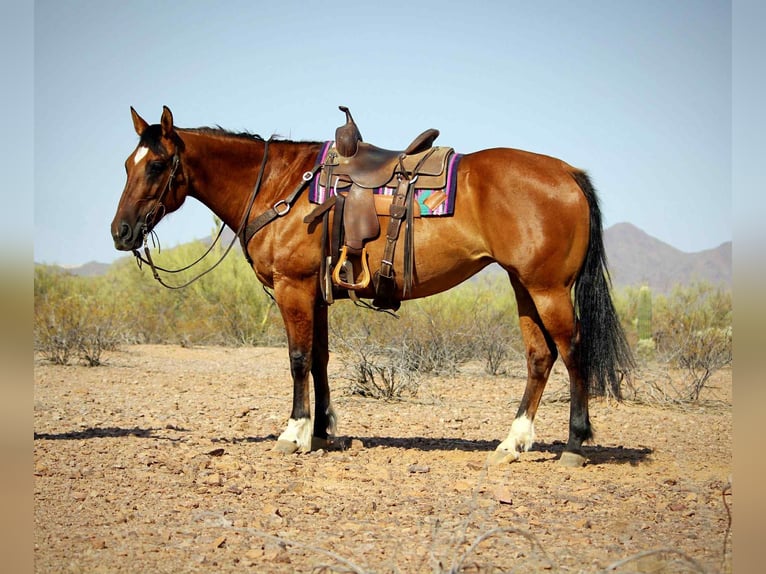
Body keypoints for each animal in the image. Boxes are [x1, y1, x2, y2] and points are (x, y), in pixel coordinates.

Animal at [111, 106, 634, 467]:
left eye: (156, 166)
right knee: (540, 356)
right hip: (524, 286)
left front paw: (293, 433)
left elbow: (297, 358)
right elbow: (319, 359)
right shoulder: (316, 293)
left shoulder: (293, 287)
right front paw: (321, 431)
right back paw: (513, 441)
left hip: (548, 288)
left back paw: (574, 444)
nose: (121, 232)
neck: (280, 186)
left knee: (574, 351)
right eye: (126, 165)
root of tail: (567, 173)